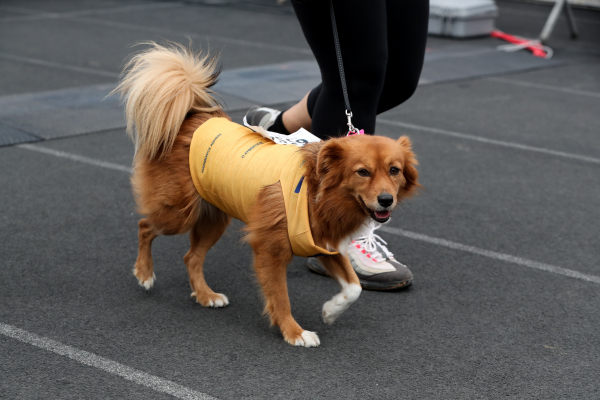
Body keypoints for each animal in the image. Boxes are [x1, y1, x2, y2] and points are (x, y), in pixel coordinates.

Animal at [115, 42, 420, 346]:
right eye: (363, 172)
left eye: (394, 170)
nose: (386, 200)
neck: (317, 193)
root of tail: (191, 116)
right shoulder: (271, 250)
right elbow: (281, 297)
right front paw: (294, 333)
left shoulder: (323, 245)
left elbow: (354, 286)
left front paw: (331, 310)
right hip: (179, 213)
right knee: (145, 226)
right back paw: (144, 273)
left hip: (214, 219)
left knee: (191, 257)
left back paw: (205, 295)